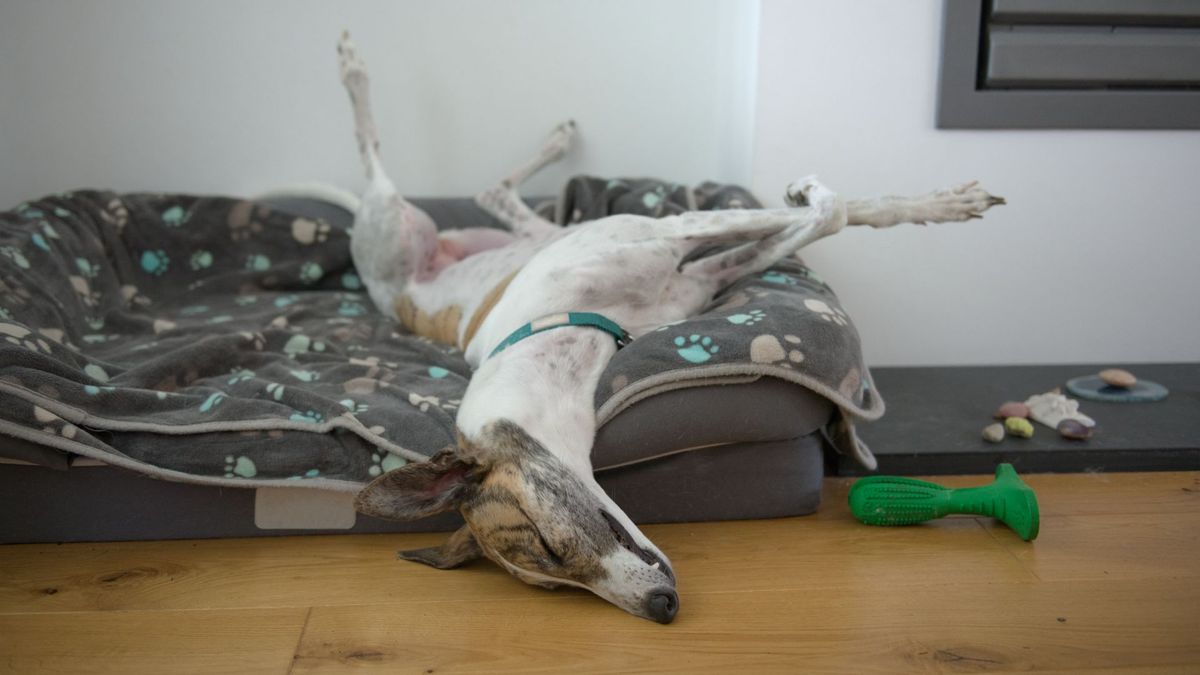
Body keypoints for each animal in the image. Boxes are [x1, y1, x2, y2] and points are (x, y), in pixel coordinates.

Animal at [328, 32, 1003, 619]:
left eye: (547, 545)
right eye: (553, 581)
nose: (661, 608)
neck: (553, 326)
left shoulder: (674, 238)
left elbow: (832, 211)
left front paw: (932, 202)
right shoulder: (692, 270)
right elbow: (820, 218)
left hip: (417, 228)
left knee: (426, 175)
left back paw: (360, 69)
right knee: (484, 189)